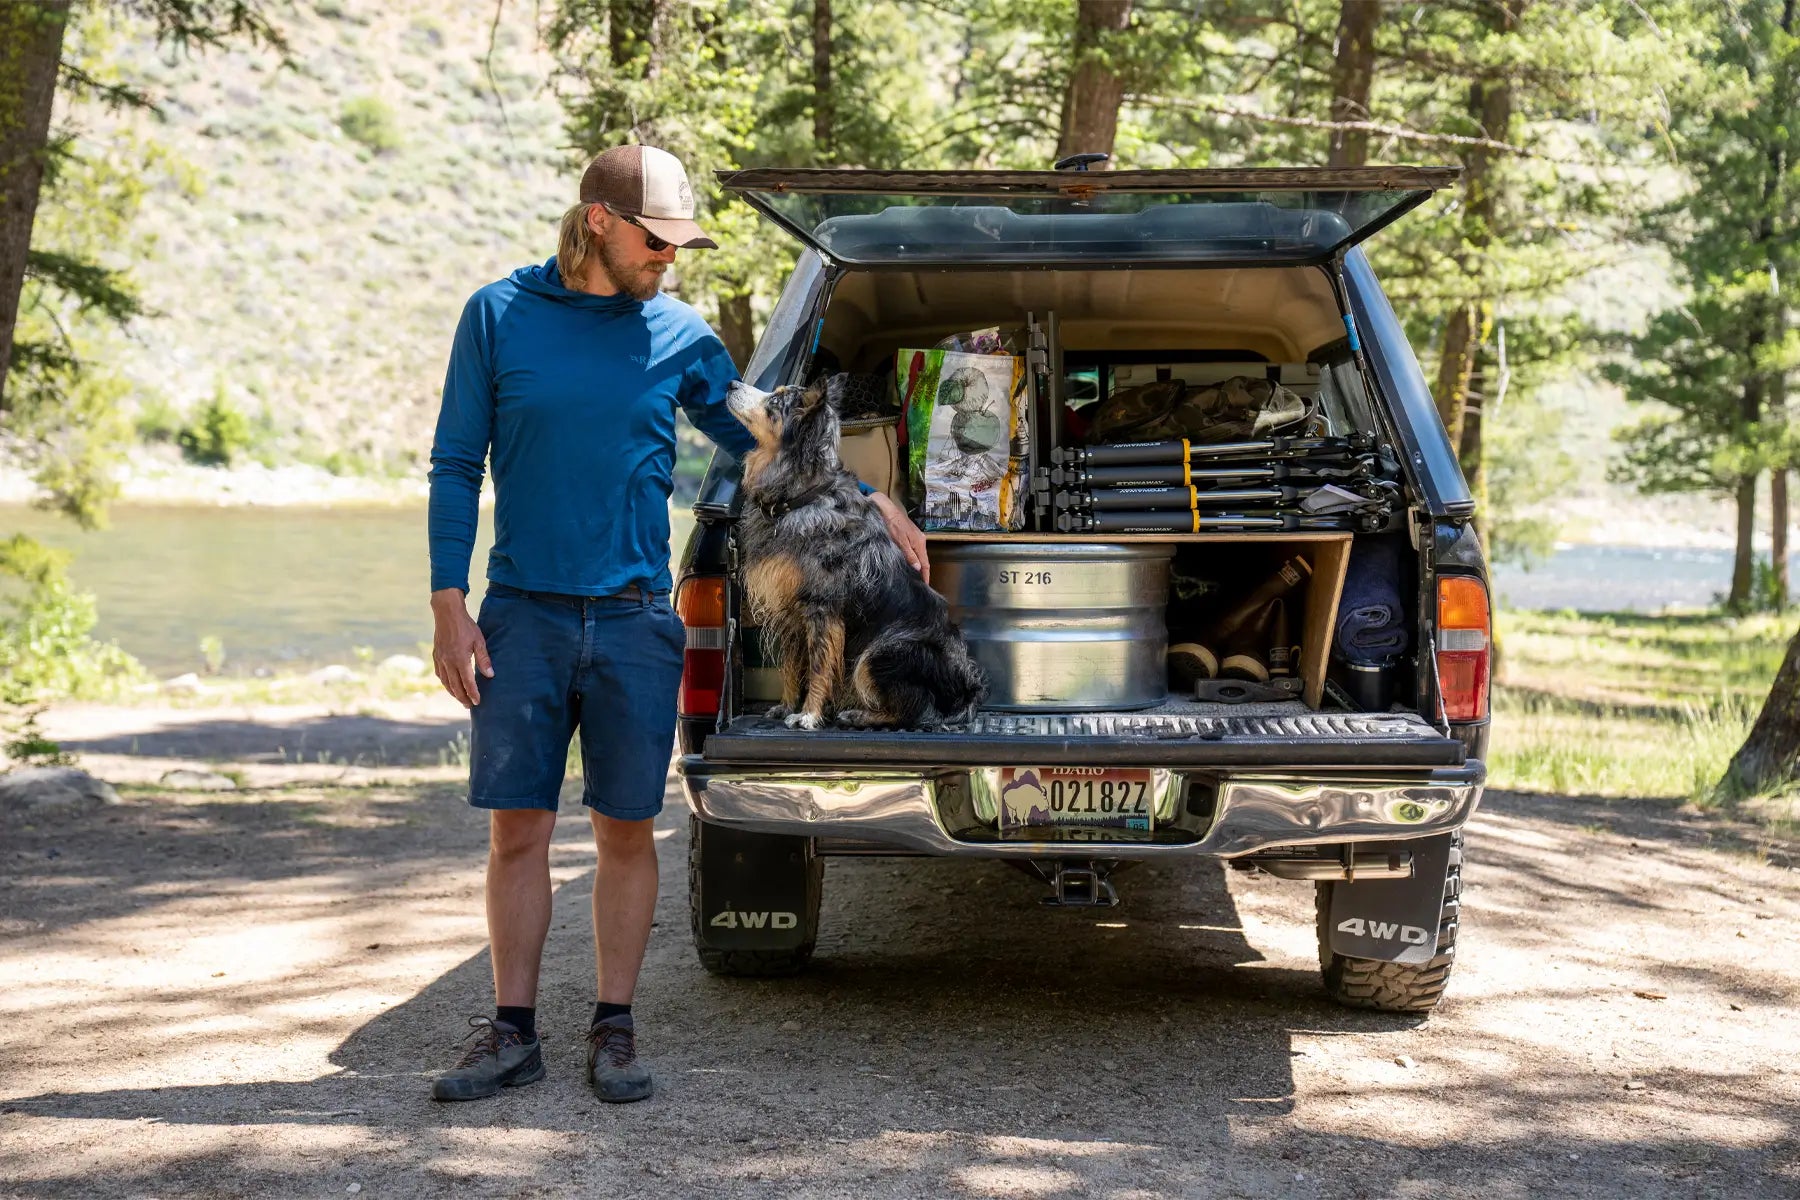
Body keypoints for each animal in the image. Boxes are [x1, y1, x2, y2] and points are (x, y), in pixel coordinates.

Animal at [727, 376, 986, 734]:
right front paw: (786, 706)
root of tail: (966, 694)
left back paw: (859, 715)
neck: (801, 497)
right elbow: (792, 665)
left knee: (914, 710)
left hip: (884, 652)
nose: (730, 383)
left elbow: (820, 666)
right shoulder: (791, 606)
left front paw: (808, 715)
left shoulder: (822, 608)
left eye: (776, 402)